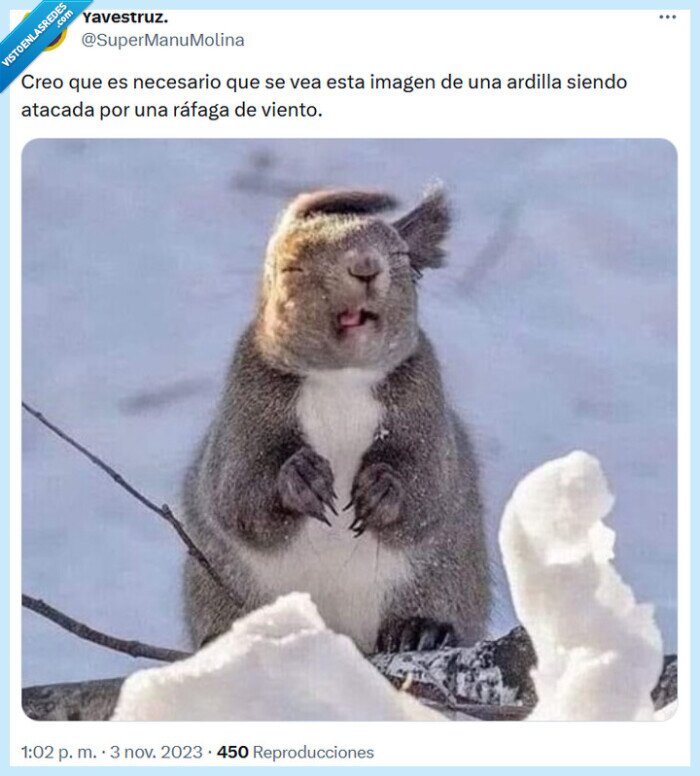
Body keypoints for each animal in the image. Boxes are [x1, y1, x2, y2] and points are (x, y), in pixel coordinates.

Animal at [182, 185, 490, 654]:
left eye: (400, 255)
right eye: (290, 266)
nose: (365, 266)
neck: (341, 379)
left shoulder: (425, 406)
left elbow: (430, 486)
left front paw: (384, 488)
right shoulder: (243, 408)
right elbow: (236, 494)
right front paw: (299, 478)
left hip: (442, 580)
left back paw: (421, 629)